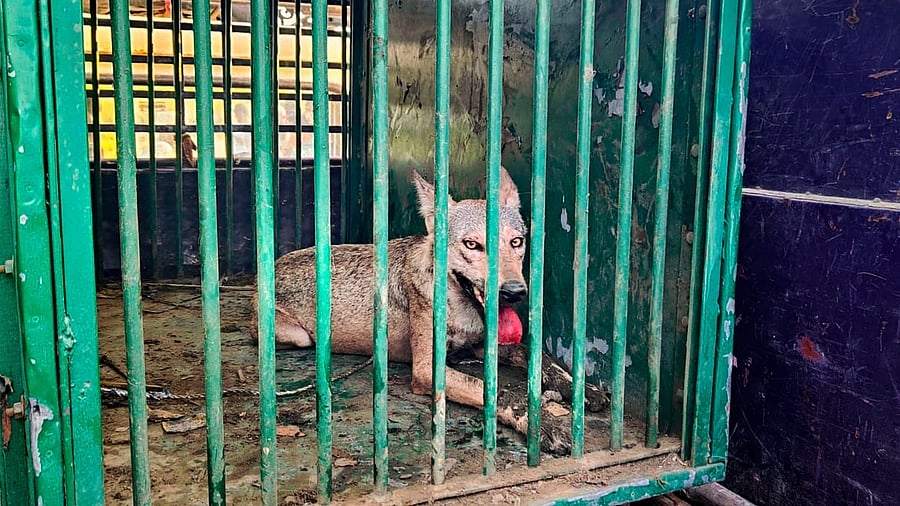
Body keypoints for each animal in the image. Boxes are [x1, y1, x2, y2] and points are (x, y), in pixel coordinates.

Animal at [252, 167, 607, 454]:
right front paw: (544, 425)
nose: (514, 293)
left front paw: (583, 389)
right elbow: (503, 392)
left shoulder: (482, 343)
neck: (459, 308)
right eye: (472, 245)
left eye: (517, 242)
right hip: (301, 338)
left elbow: (540, 358)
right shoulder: (427, 369)